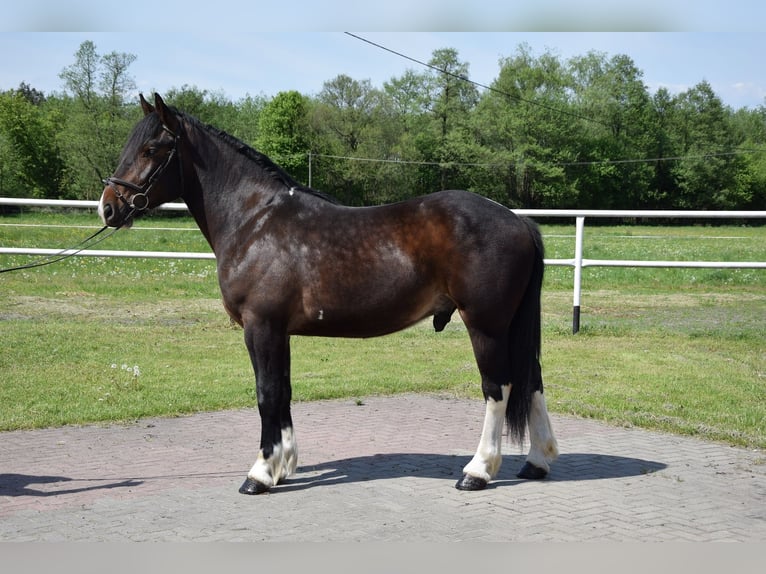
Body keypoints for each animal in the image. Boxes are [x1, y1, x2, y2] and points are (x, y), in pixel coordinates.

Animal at [100, 93, 560, 496]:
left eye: (152, 149)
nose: (108, 207)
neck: (255, 220)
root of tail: (520, 223)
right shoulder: (278, 332)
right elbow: (283, 391)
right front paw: (284, 464)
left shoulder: (260, 326)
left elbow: (266, 393)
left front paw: (260, 474)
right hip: (509, 326)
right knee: (532, 381)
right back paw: (537, 462)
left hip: (486, 326)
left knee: (499, 387)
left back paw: (477, 470)